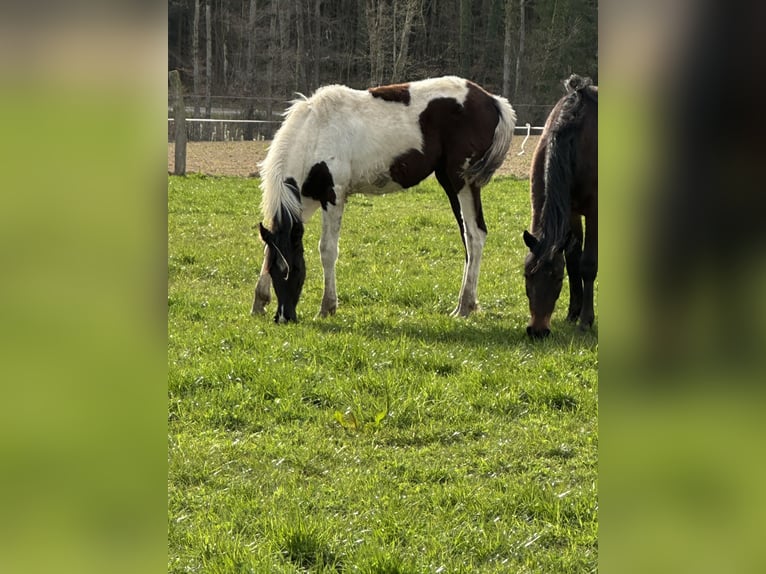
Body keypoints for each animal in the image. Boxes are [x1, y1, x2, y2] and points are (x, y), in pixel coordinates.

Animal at [251, 76, 516, 323]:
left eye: (295, 269)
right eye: (275, 272)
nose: (284, 317)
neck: (315, 133)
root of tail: (492, 100)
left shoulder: (333, 197)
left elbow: (327, 250)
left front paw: (327, 307)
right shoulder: (305, 203)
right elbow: (268, 248)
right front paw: (259, 302)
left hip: (462, 182)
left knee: (475, 236)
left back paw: (464, 306)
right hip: (449, 182)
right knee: (468, 238)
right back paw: (467, 303)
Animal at [522, 74, 598, 338]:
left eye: (557, 278)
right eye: (527, 275)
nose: (537, 331)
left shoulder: (593, 211)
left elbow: (587, 264)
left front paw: (586, 320)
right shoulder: (572, 211)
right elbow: (573, 258)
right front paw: (573, 312)